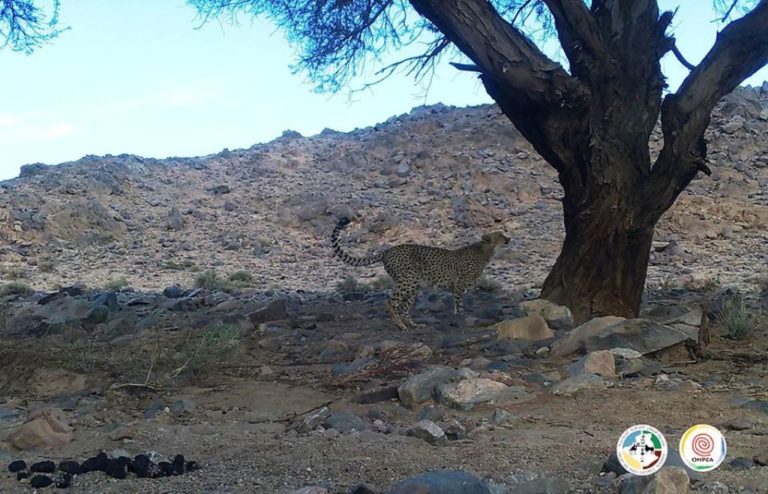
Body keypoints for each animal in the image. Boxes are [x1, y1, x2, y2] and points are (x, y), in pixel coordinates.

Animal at [331, 216, 509, 331]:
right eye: (501, 235)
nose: (509, 239)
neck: (485, 250)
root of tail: (387, 251)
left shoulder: (455, 287)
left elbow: (455, 304)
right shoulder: (459, 285)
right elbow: (459, 304)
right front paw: (461, 318)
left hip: (412, 286)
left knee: (404, 309)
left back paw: (413, 325)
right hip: (408, 281)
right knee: (391, 302)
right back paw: (401, 326)